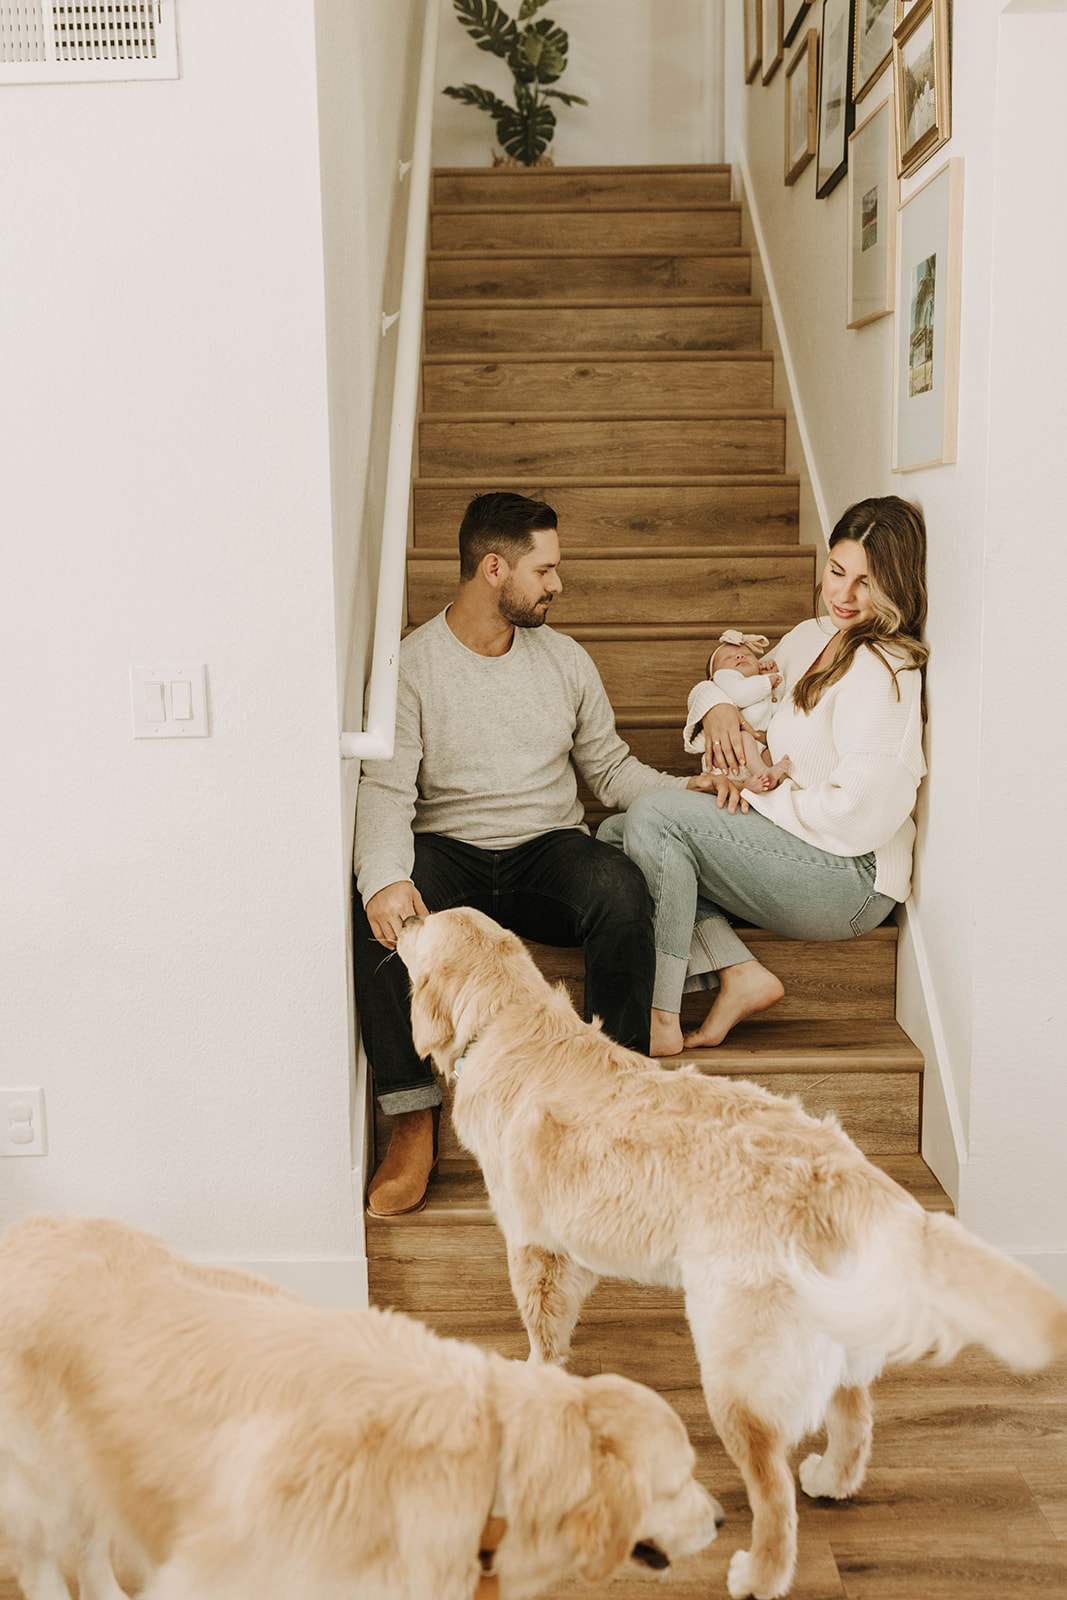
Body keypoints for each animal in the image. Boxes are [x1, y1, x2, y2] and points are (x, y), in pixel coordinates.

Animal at [398, 915, 1067, 1600]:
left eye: (427, 926)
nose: (404, 917)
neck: (508, 1018)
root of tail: (839, 1171)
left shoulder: (532, 1243)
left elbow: (542, 1332)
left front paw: (534, 1380)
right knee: (855, 1418)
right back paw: (831, 1479)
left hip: (736, 1367)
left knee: (774, 1490)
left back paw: (759, 1571)